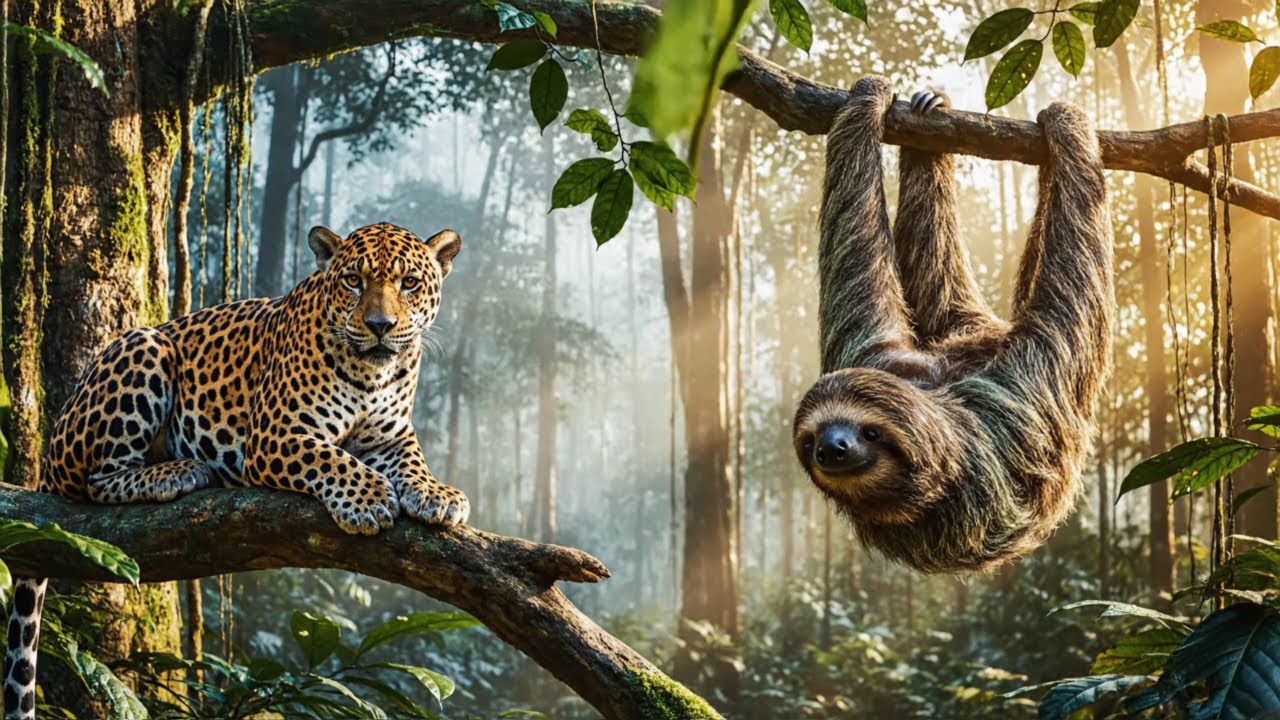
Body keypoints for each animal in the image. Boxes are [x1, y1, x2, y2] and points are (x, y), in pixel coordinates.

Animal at [3, 222, 468, 720]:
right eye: (353, 282)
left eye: (409, 283)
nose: (380, 326)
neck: (373, 374)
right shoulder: (274, 433)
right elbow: (331, 457)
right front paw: (369, 499)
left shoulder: (391, 437)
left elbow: (413, 462)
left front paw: (437, 494)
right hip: (144, 348)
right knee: (95, 480)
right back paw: (178, 472)